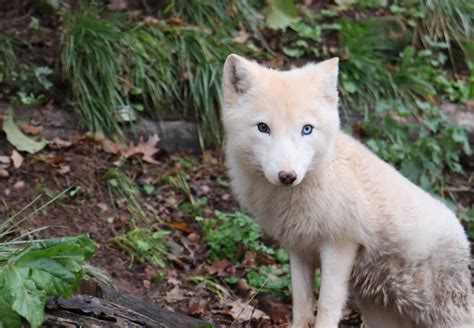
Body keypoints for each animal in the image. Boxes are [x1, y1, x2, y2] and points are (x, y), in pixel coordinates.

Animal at [221, 54, 470, 328]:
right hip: (379, 312)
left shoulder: (339, 247)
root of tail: (462, 236)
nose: (287, 176)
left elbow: (327, 307)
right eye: (263, 128)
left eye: (306, 129)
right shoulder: (299, 250)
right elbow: (302, 307)